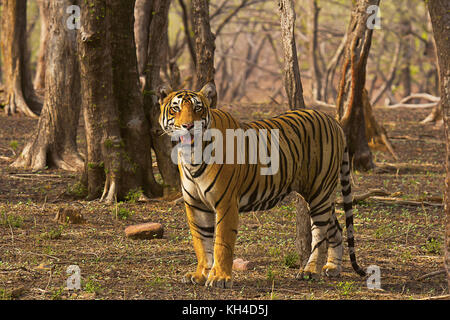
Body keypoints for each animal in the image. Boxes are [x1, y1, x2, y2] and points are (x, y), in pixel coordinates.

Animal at [158, 84, 366, 288]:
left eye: (197, 108)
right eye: (175, 108)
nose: (188, 126)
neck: (192, 155)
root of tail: (332, 120)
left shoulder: (226, 203)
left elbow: (221, 243)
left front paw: (220, 278)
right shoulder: (196, 205)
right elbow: (201, 242)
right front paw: (201, 274)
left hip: (319, 191)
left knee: (320, 234)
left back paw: (310, 271)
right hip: (318, 194)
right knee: (336, 229)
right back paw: (332, 267)